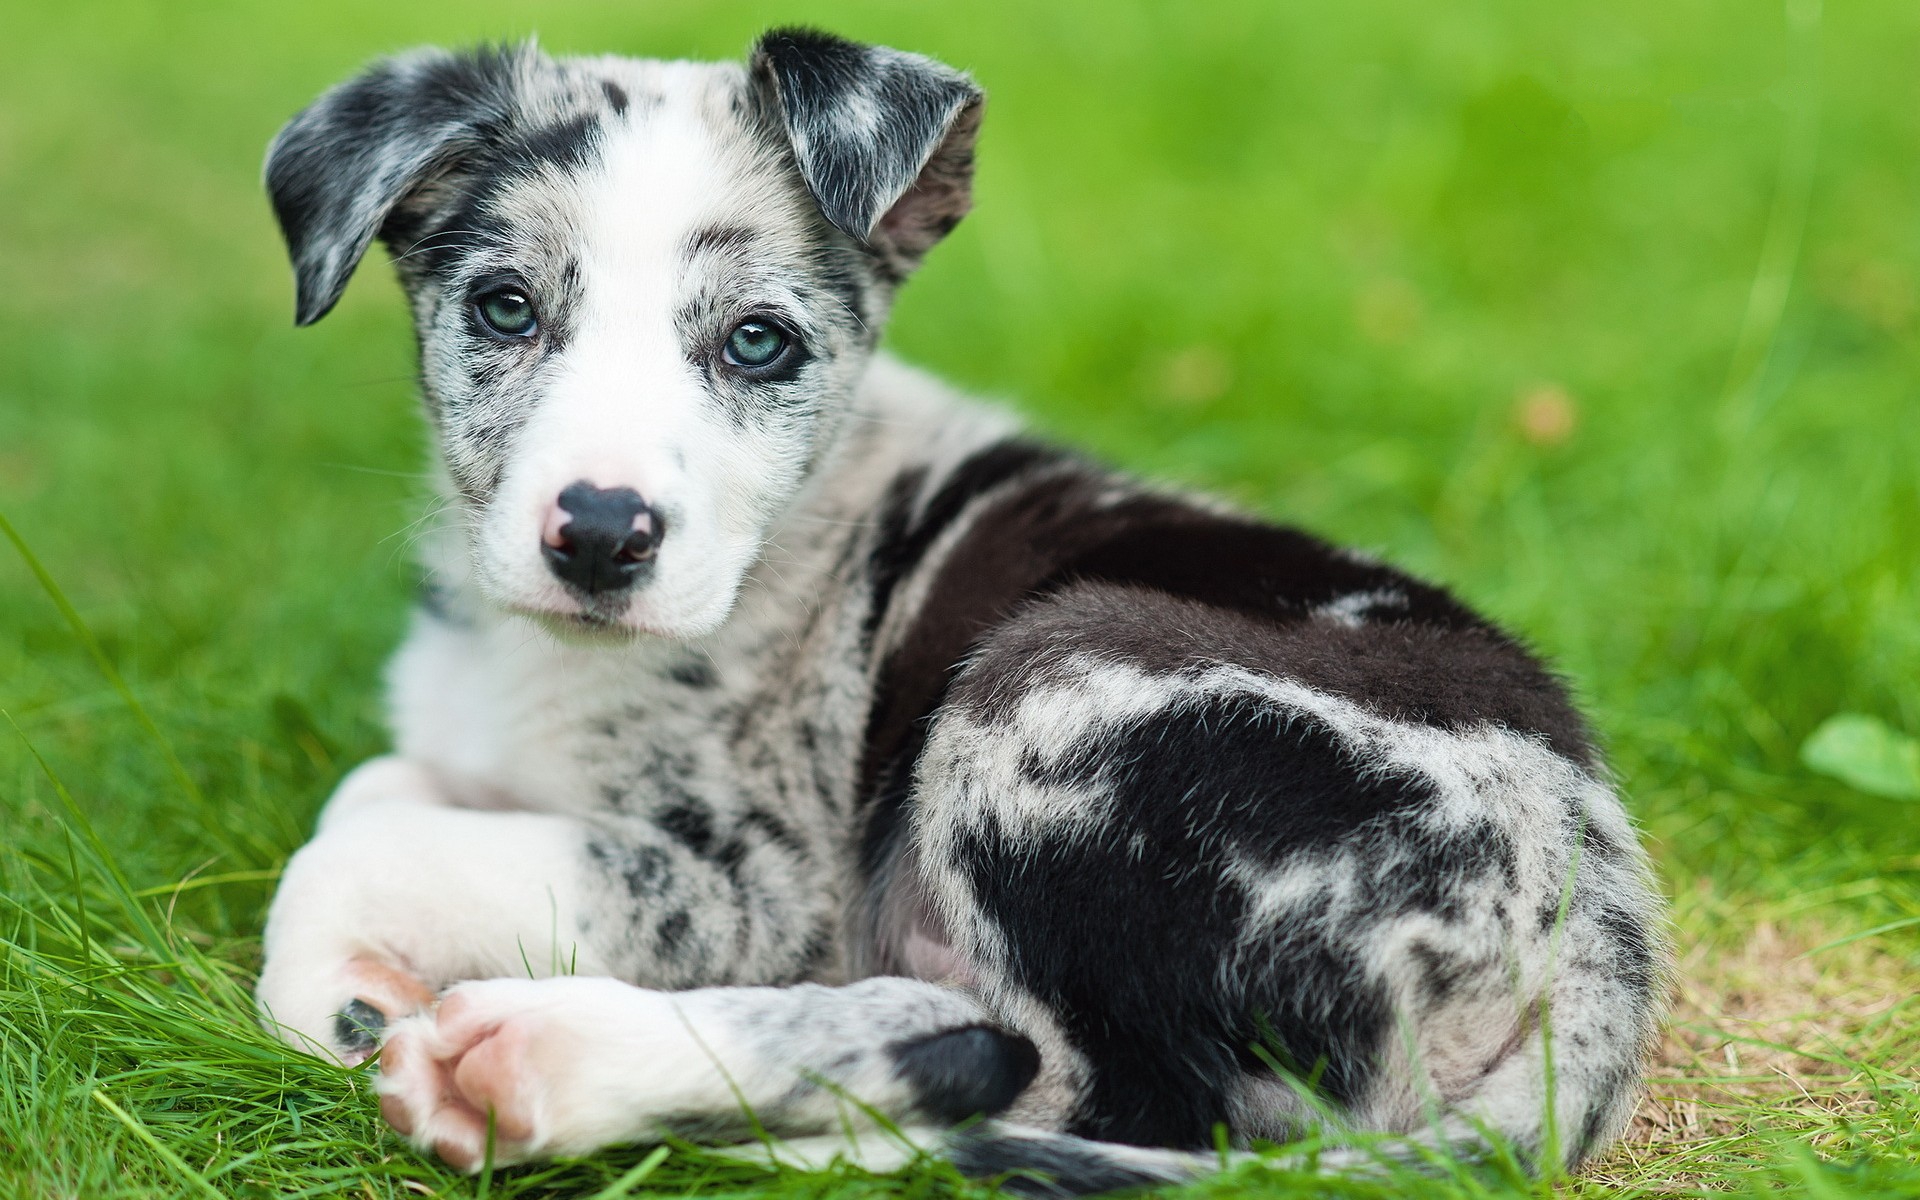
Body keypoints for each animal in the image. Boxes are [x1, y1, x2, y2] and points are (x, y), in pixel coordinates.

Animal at [255, 25, 1666, 1190]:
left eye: (758, 342)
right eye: (506, 308)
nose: (600, 533)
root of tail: (1605, 942)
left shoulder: (761, 879)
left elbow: (359, 845)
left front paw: (326, 991)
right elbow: (375, 788)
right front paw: (359, 979)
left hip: (1051, 680)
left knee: (1051, 1079)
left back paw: (549, 1062)